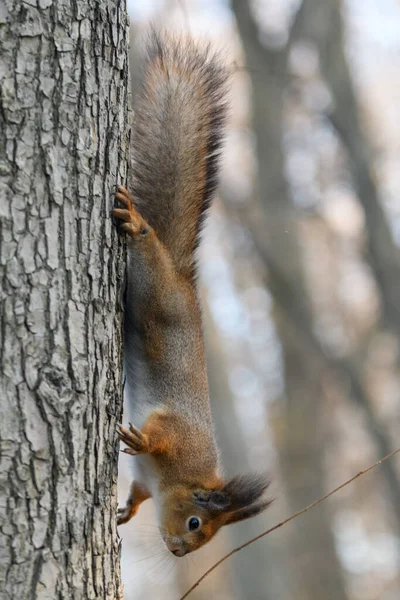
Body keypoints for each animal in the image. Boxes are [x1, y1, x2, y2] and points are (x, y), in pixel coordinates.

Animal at [113, 30, 272, 556]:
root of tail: (183, 277)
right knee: (148, 248)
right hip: (155, 286)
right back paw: (139, 224)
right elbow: (157, 437)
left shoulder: (147, 480)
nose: (179, 551)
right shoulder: (178, 434)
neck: (179, 479)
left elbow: (139, 493)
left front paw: (126, 511)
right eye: (196, 523)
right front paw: (142, 443)